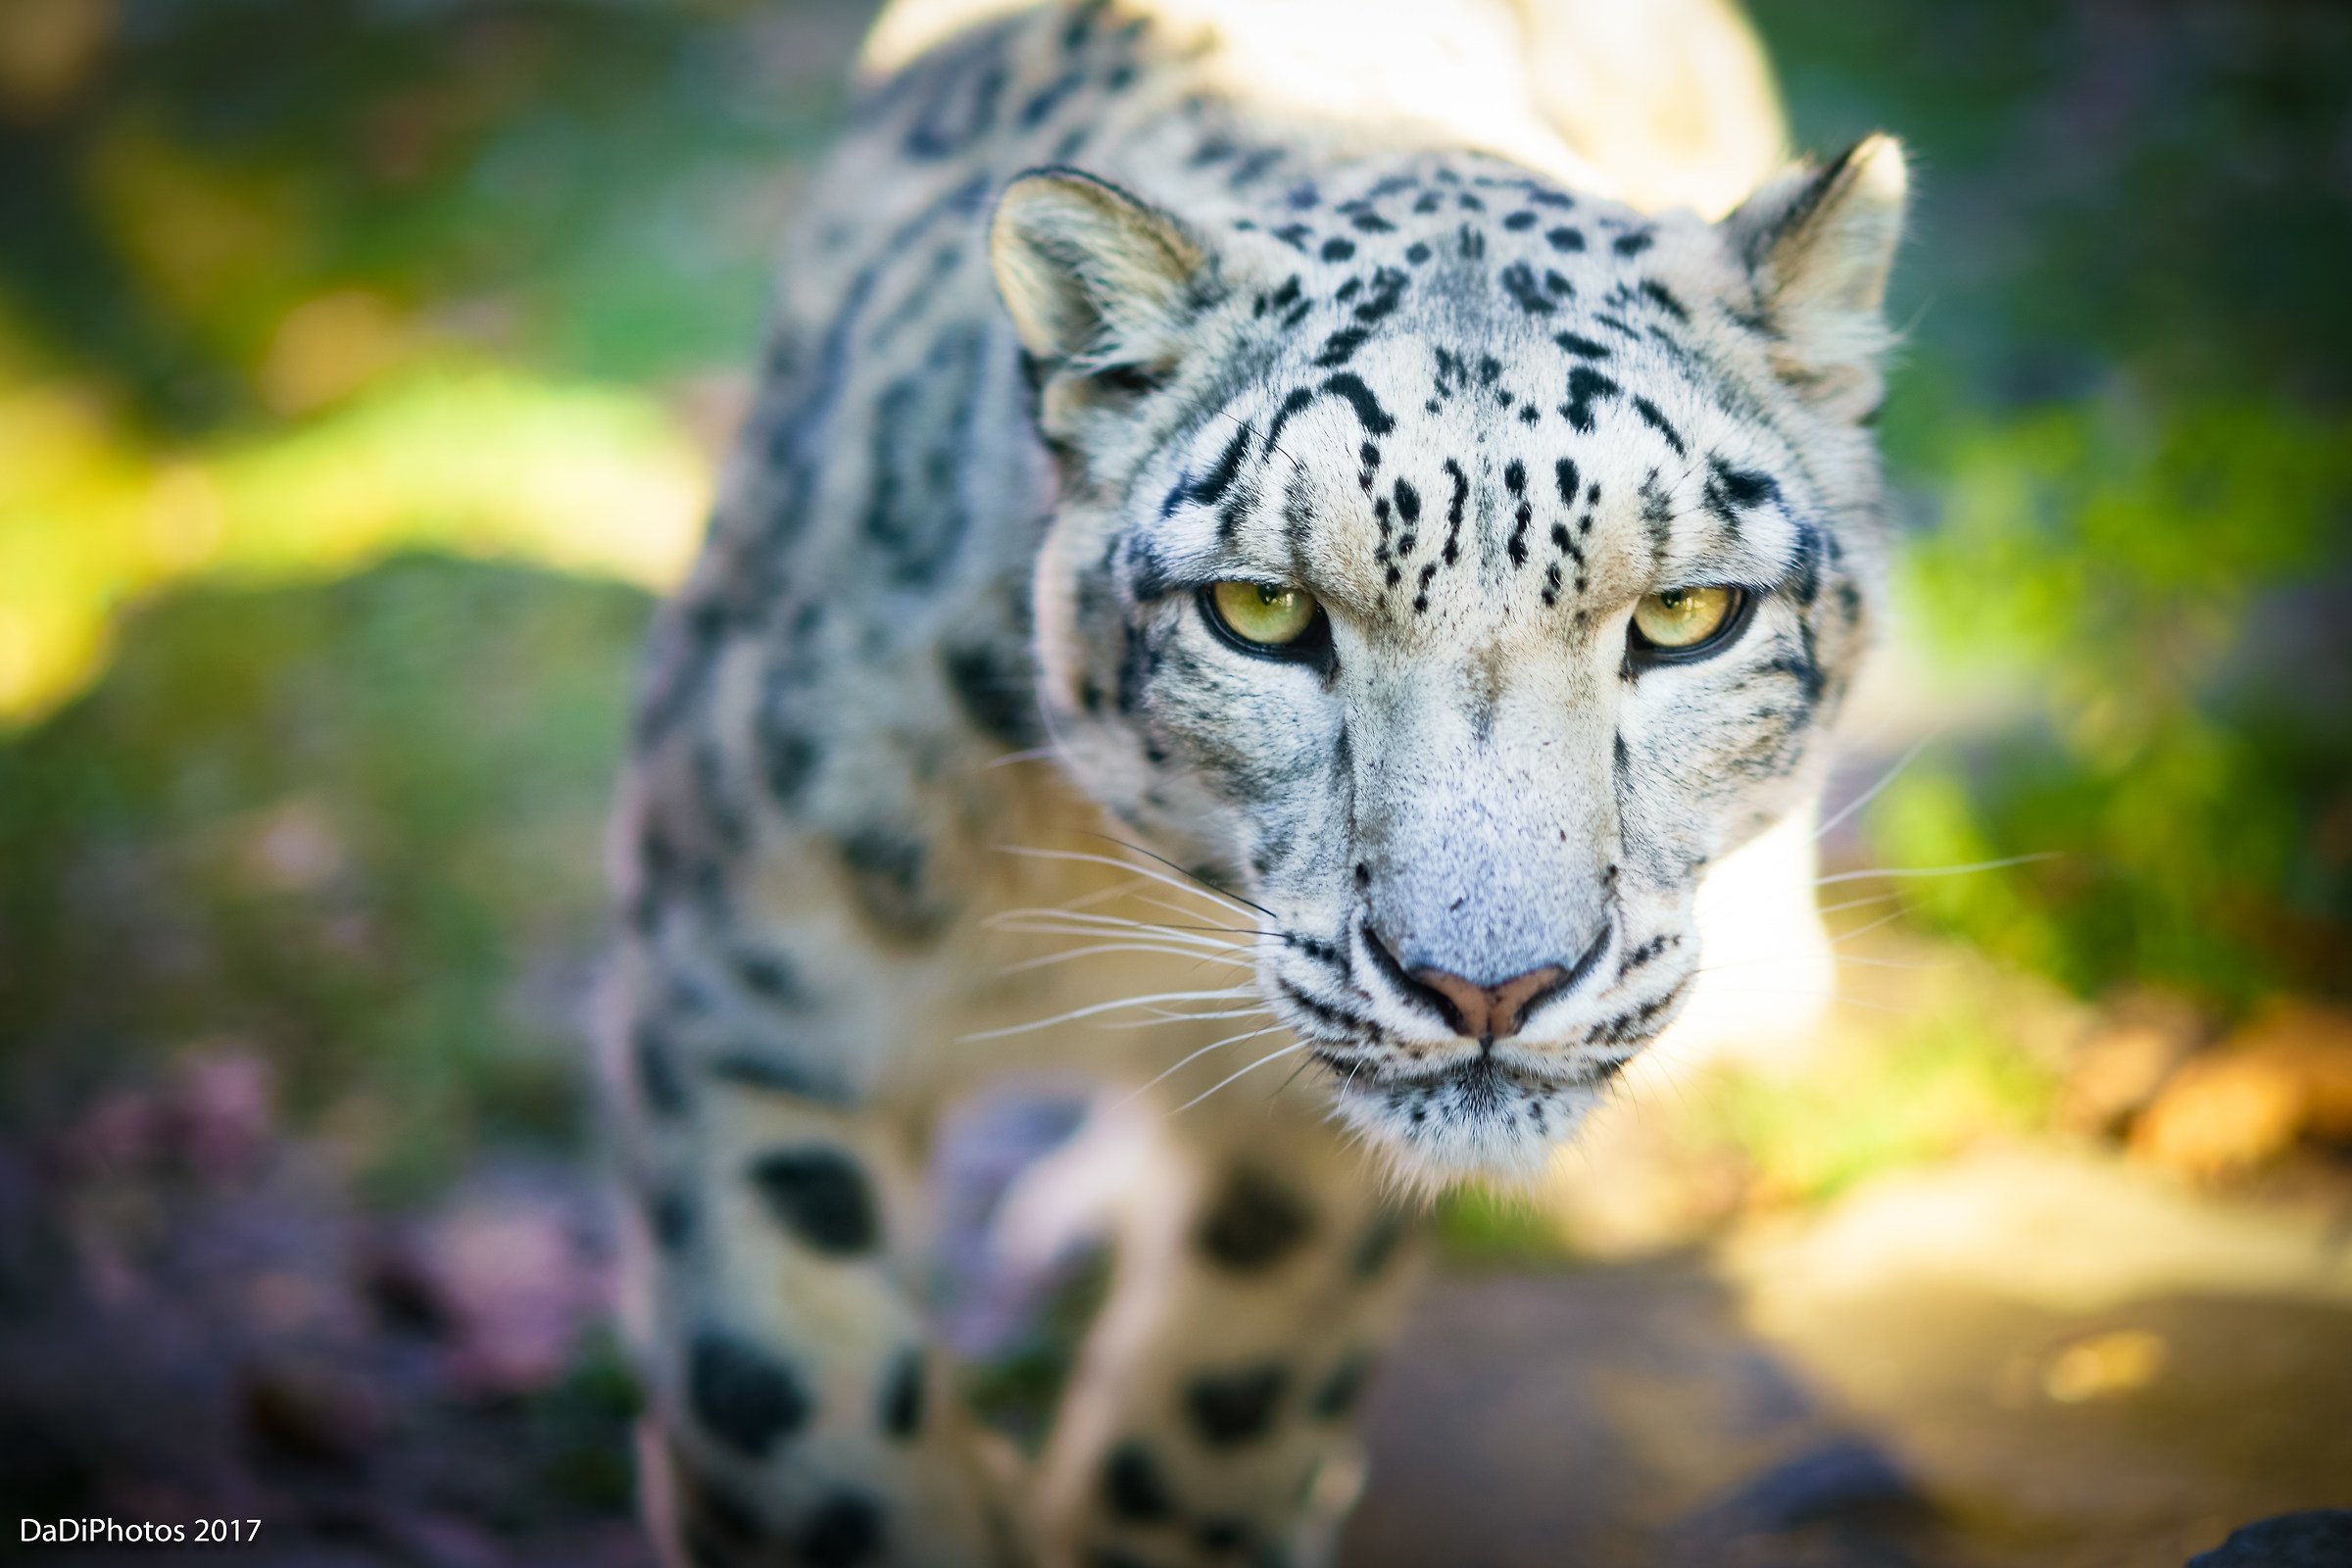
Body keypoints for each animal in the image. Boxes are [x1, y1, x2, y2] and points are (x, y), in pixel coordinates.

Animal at [598, 0, 1907, 1563]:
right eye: (1262, 611)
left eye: (1691, 614)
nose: (1489, 987)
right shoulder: (746, 992)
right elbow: (784, 1406)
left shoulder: (1292, 1152)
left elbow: (1221, 1404)